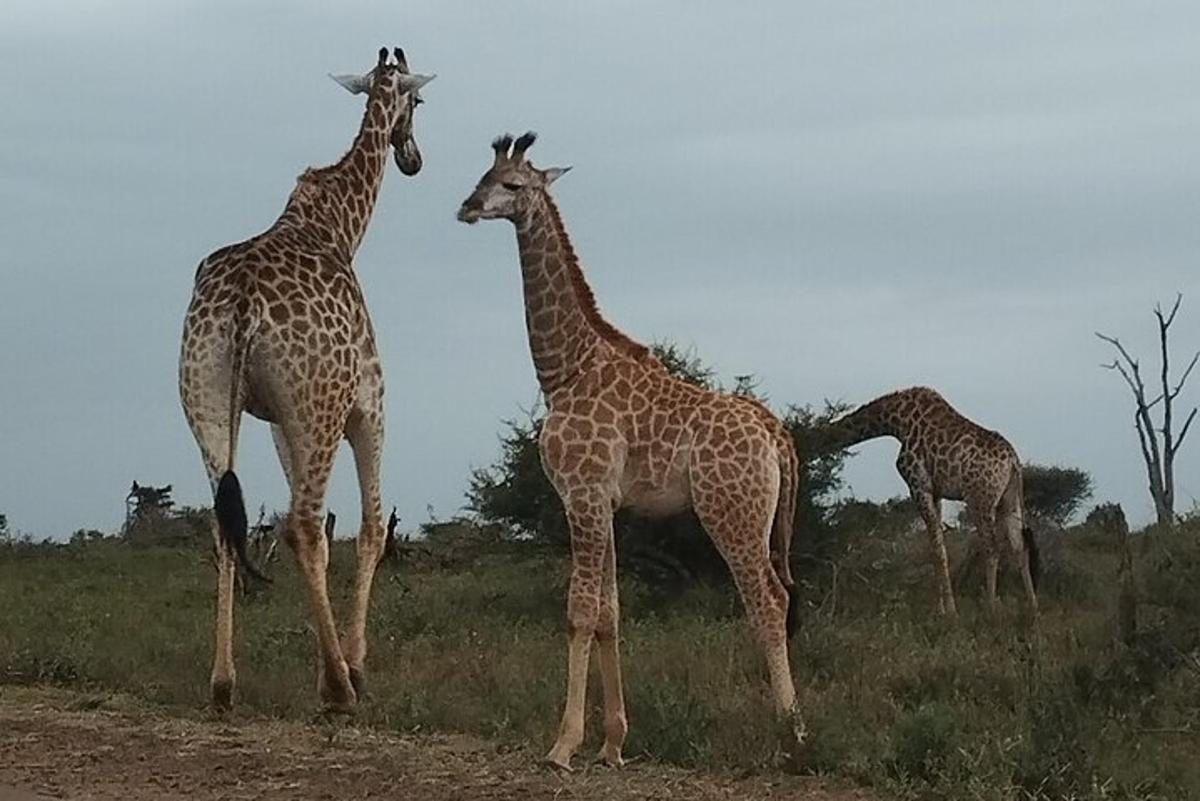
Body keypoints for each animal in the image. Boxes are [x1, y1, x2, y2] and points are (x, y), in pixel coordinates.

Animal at [177, 48, 436, 714]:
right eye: (419, 100)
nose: (413, 158)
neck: (339, 225)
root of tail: (242, 305)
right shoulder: (367, 405)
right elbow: (368, 529)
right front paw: (354, 666)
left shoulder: (275, 421)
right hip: (317, 409)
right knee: (299, 524)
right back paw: (340, 687)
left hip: (206, 400)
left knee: (226, 522)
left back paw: (223, 683)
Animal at [458, 133, 806, 767]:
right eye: (482, 175)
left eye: (512, 184)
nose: (467, 207)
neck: (565, 369)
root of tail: (777, 435)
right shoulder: (606, 502)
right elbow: (610, 615)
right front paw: (613, 744)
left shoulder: (581, 492)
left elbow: (579, 613)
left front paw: (563, 744)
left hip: (733, 513)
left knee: (769, 601)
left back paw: (791, 732)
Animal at [825, 386, 1041, 613]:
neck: (896, 420)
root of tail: (1013, 461)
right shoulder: (936, 492)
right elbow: (937, 547)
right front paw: (943, 608)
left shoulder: (919, 486)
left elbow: (938, 550)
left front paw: (948, 612)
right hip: (1010, 500)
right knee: (1020, 547)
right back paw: (1033, 608)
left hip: (979, 498)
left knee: (991, 547)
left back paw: (990, 608)